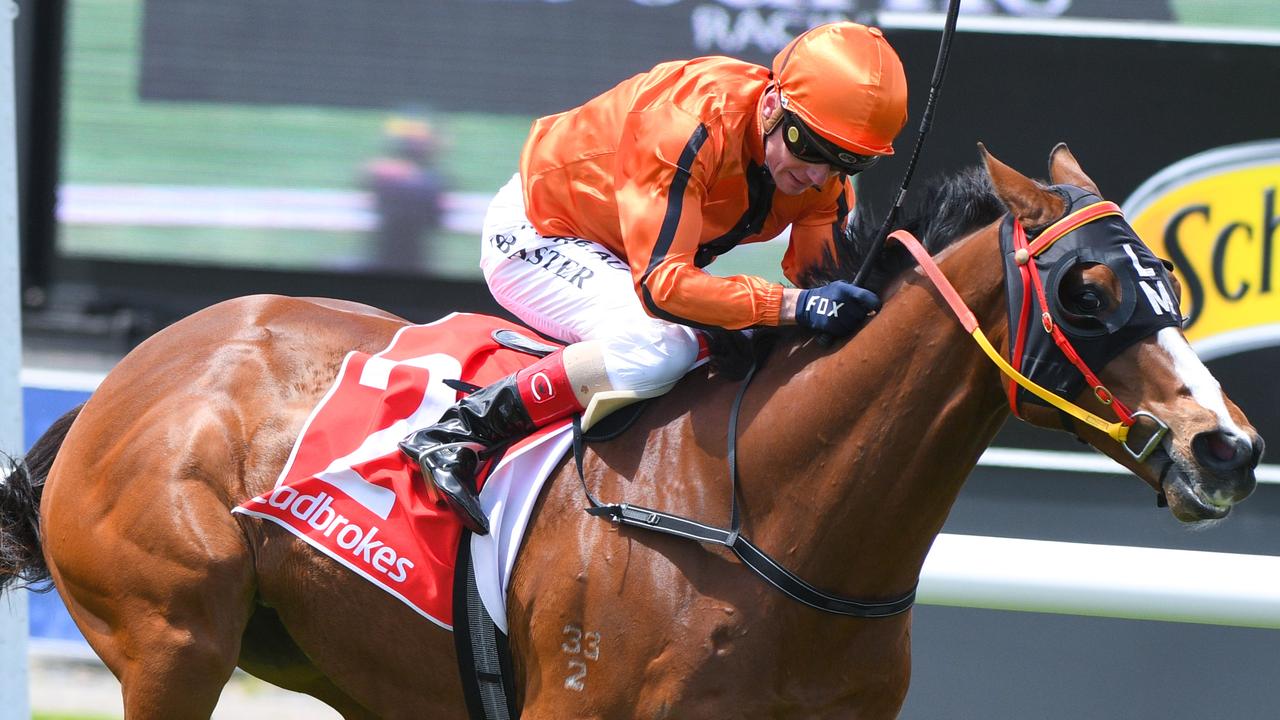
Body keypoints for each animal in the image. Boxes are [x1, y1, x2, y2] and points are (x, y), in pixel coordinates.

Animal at [0, 142, 1259, 712]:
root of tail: (128, 379)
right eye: (1088, 292)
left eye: (1169, 283)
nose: (1228, 447)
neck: (774, 521)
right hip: (173, 635)